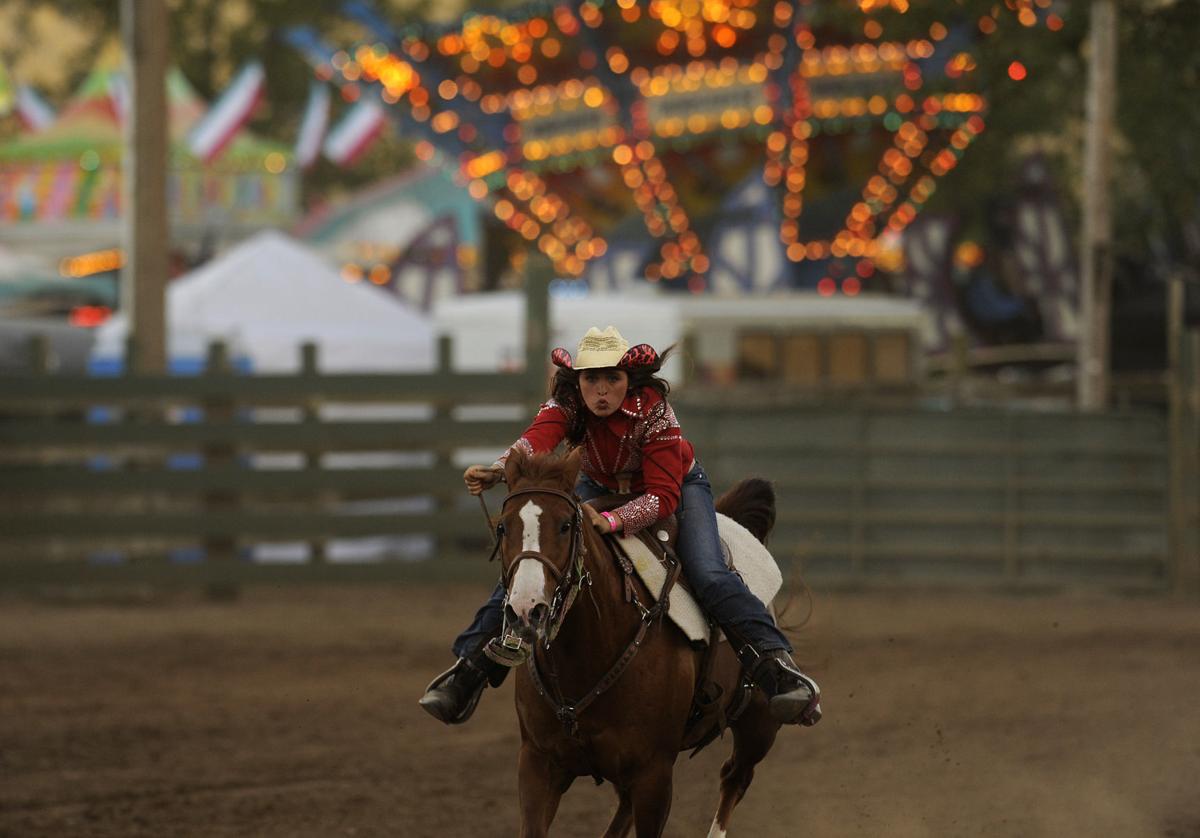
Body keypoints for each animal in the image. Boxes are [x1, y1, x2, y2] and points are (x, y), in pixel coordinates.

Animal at [494, 446, 787, 830]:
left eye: (565, 525)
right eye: (502, 526)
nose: (527, 609)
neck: (585, 655)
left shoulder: (654, 774)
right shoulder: (538, 763)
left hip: (760, 722)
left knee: (735, 776)